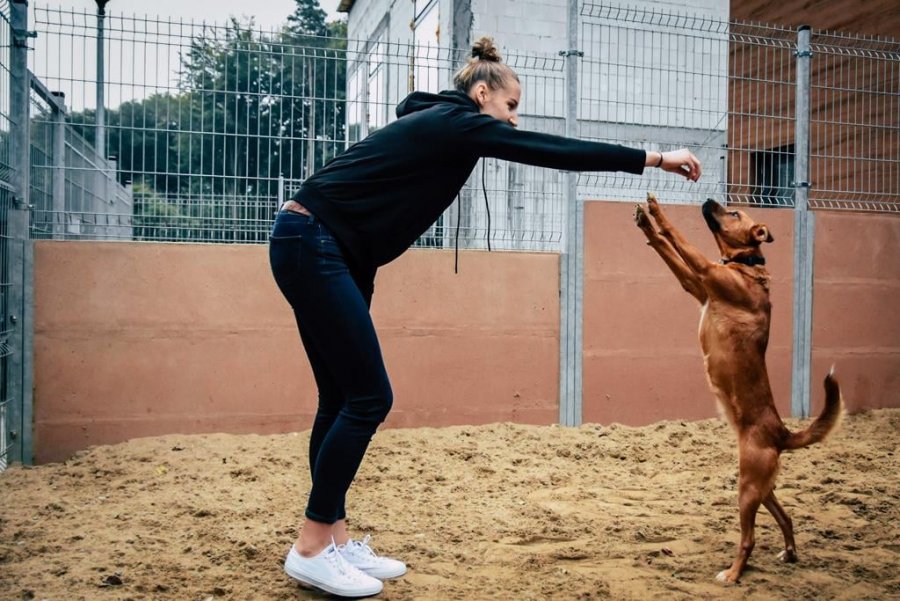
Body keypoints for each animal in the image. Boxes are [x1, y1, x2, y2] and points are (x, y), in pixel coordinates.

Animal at [632, 191, 844, 580]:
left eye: (732, 212)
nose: (708, 197)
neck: (746, 264)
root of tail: (781, 433)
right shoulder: (695, 283)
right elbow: (666, 249)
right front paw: (645, 223)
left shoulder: (704, 270)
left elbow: (676, 238)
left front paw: (657, 212)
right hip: (762, 488)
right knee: (787, 518)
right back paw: (789, 553)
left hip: (747, 489)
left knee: (749, 539)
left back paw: (732, 574)